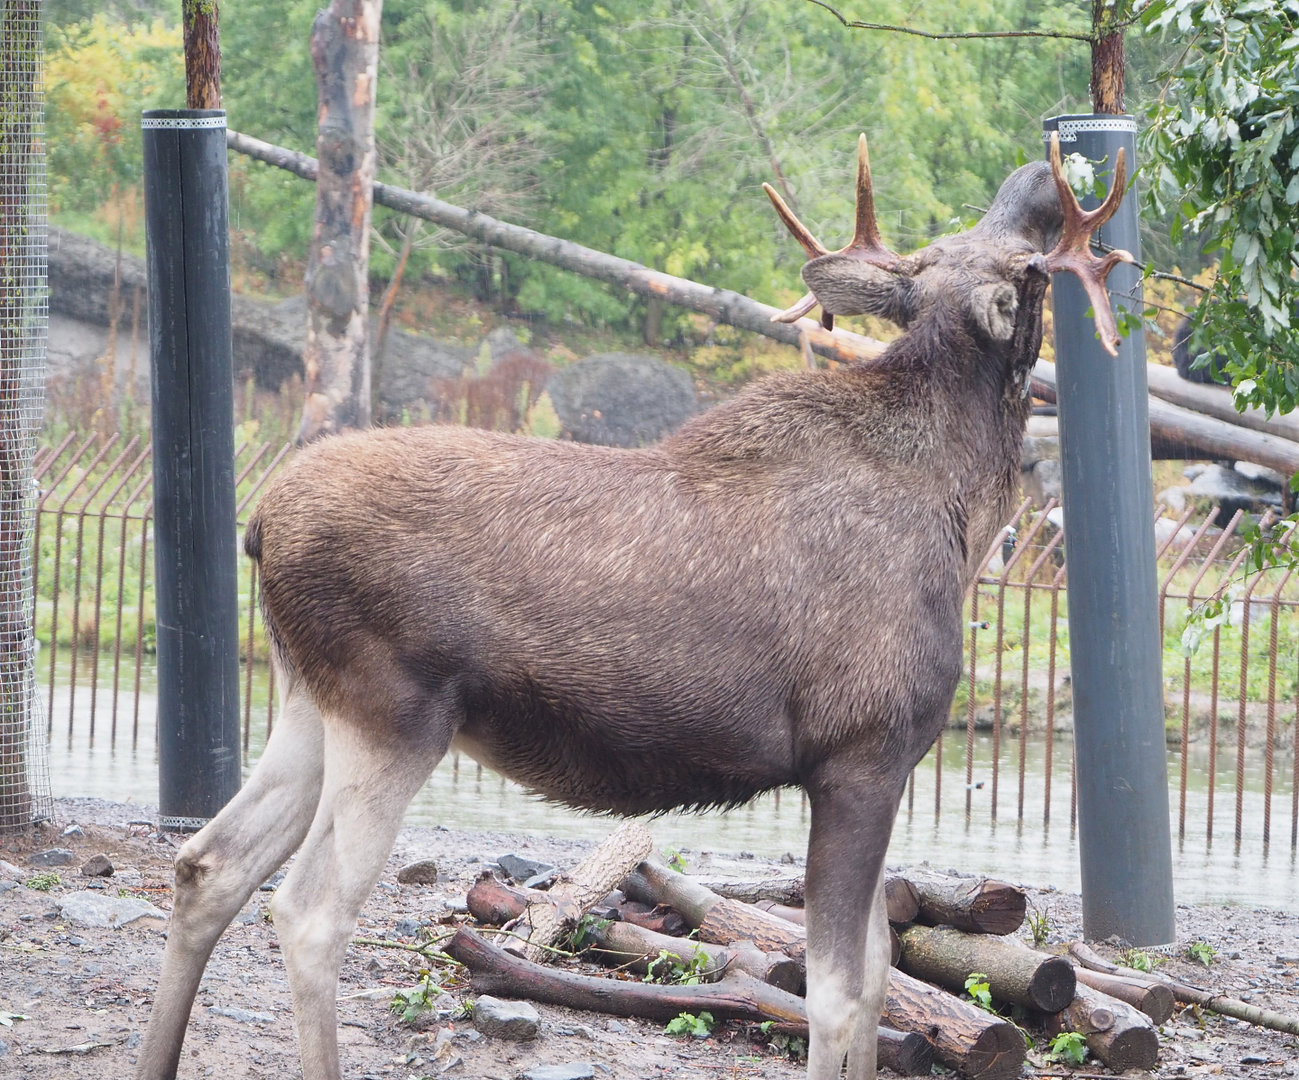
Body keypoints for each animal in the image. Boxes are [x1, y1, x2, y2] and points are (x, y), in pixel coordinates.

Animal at [135, 132, 1130, 1080]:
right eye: (1029, 269)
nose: (1039, 181)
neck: (965, 518)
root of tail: (259, 524)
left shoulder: (879, 766)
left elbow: (882, 971)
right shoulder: (859, 755)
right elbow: (841, 994)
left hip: (309, 700)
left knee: (206, 864)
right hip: (394, 711)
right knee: (305, 911)